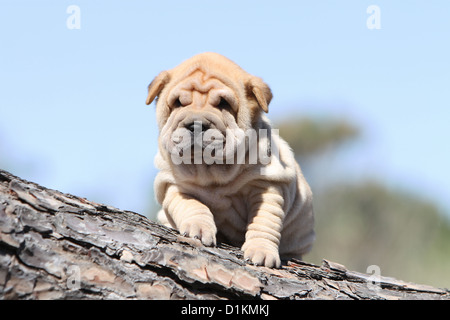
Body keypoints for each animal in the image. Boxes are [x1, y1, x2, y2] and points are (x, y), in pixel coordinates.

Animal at [146, 52, 314, 268]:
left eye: (223, 103)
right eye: (178, 102)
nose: (196, 124)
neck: (210, 169)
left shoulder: (267, 185)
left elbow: (265, 220)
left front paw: (261, 251)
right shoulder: (171, 184)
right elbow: (191, 205)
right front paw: (197, 228)